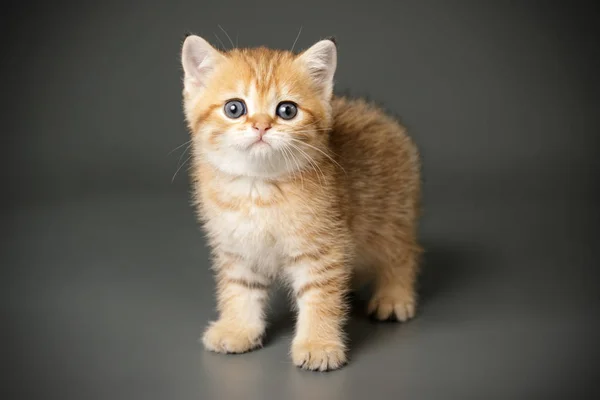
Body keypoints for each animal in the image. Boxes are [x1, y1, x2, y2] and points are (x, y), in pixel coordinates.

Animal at [180, 34, 420, 372]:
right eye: (234, 108)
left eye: (287, 110)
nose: (261, 126)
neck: (259, 188)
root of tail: (380, 116)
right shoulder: (238, 246)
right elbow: (240, 288)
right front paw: (238, 328)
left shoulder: (322, 247)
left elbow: (319, 296)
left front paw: (319, 344)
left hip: (391, 216)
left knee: (402, 252)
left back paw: (394, 296)